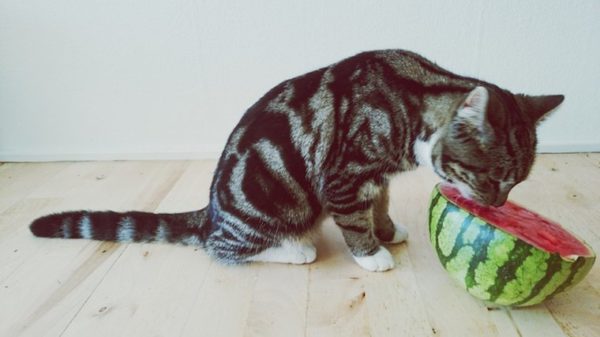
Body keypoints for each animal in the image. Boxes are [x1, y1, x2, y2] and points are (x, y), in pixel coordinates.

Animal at [29, 49, 564, 270]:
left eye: (515, 184)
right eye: (491, 179)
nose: (497, 207)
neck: (410, 101)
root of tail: (211, 211)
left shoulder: (378, 177)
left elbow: (380, 204)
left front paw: (388, 230)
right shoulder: (345, 175)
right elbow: (355, 220)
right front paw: (373, 255)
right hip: (267, 206)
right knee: (221, 249)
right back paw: (294, 249)